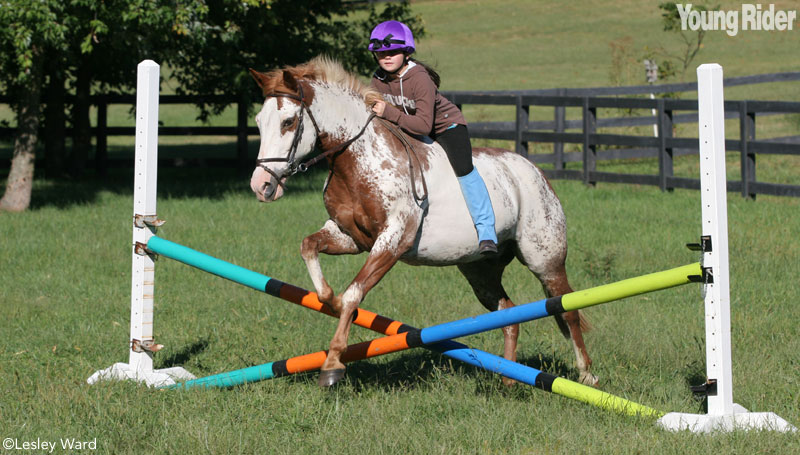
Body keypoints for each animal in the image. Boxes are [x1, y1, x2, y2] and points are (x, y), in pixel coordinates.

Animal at [247, 57, 596, 390]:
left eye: (289, 122)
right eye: (259, 123)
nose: (261, 186)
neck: (357, 159)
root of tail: (534, 171)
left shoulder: (392, 240)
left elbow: (354, 293)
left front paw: (332, 365)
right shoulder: (350, 237)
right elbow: (309, 248)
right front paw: (328, 299)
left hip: (545, 259)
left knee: (567, 308)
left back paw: (586, 375)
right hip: (479, 271)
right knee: (509, 314)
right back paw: (509, 379)